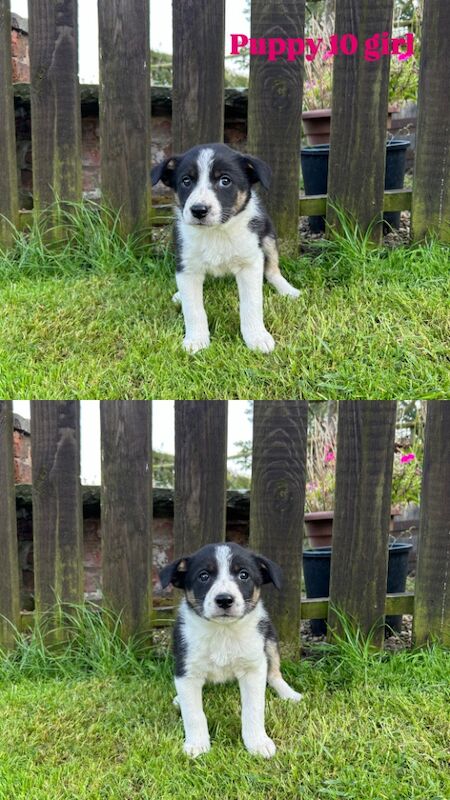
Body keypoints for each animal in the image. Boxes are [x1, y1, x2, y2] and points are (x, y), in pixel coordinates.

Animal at [150, 143, 298, 354]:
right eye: (186, 181)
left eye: (225, 181)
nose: (199, 210)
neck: (216, 232)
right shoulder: (187, 267)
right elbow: (193, 309)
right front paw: (196, 340)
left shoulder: (250, 263)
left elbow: (252, 304)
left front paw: (257, 337)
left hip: (268, 237)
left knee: (272, 270)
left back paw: (288, 290)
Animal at [158, 540, 302, 760]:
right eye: (204, 576)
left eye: (244, 575)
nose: (224, 600)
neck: (223, 632)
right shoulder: (186, 670)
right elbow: (194, 713)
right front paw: (197, 744)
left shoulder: (253, 669)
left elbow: (253, 709)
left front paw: (257, 742)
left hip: (269, 640)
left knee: (274, 674)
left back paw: (289, 694)